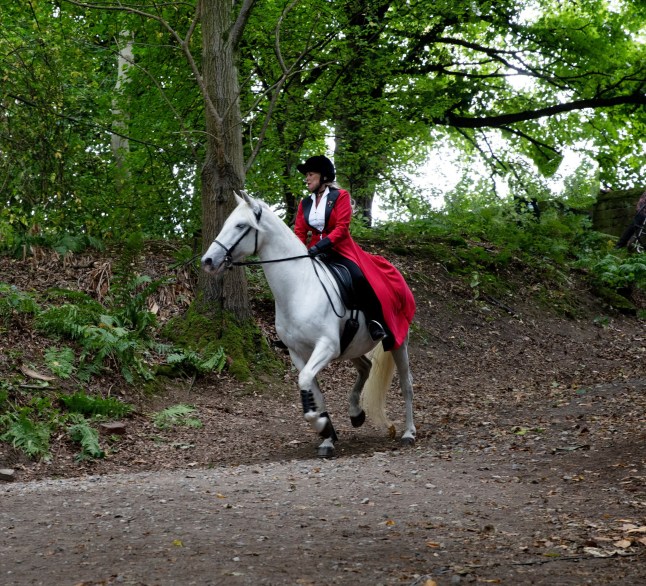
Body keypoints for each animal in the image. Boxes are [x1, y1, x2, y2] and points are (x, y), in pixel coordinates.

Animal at [201, 191, 415, 458]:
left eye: (240, 226)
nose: (208, 260)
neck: (298, 288)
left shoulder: (326, 347)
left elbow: (305, 383)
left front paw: (320, 424)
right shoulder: (299, 353)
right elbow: (313, 390)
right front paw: (327, 437)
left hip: (398, 341)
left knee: (407, 385)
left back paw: (409, 433)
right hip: (351, 346)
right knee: (365, 367)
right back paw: (356, 413)